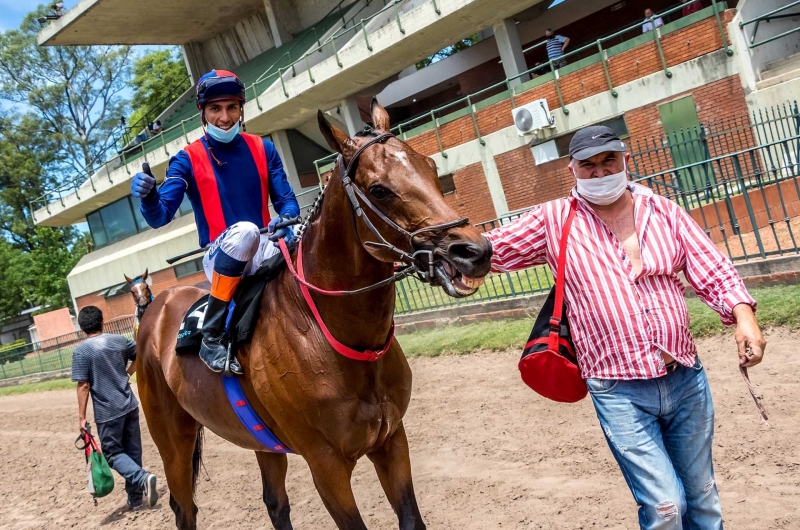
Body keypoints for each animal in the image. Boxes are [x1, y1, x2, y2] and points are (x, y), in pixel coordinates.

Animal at [134, 102, 490, 528]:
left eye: (432, 167)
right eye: (379, 190)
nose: (473, 252)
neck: (335, 337)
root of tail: (157, 307)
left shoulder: (391, 440)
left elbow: (411, 519)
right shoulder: (326, 464)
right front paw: (146, 190)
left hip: (261, 441)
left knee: (274, 502)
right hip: (173, 439)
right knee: (184, 508)